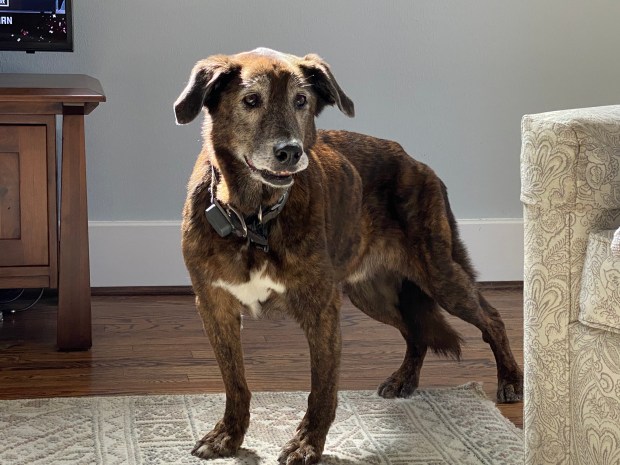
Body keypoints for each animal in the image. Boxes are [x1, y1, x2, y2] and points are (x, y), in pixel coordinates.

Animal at [174, 48, 523, 465]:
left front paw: (308, 443)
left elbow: (322, 389)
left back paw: (510, 380)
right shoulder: (214, 306)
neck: (253, 218)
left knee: (491, 317)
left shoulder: (321, 309)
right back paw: (404, 379)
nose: (290, 152)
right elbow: (235, 381)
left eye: (301, 101)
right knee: (416, 331)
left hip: (438, 274)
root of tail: (418, 164)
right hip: (371, 292)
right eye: (251, 100)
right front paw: (228, 435)